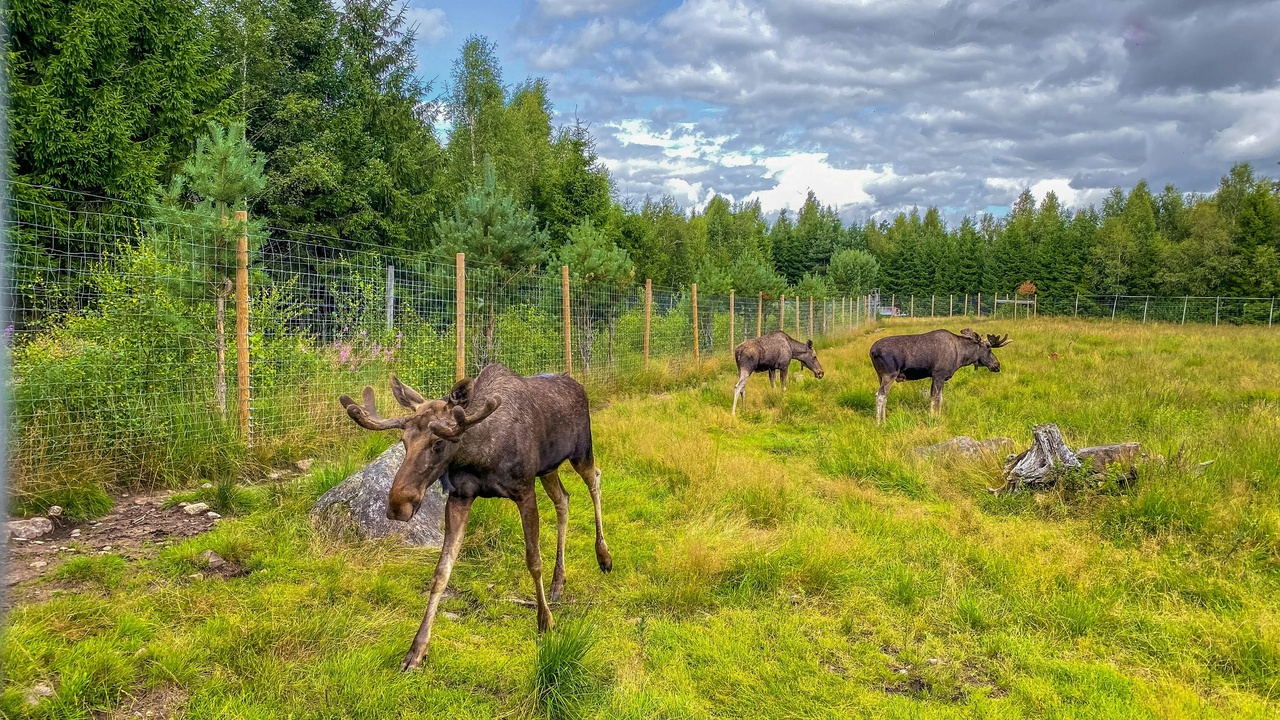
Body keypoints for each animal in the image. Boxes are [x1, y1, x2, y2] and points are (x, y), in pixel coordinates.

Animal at [339, 364, 612, 671]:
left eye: (438, 443)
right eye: (403, 441)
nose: (398, 505)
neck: (479, 456)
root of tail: (577, 384)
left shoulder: (524, 490)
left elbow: (533, 560)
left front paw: (545, 621)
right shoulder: (460, 496)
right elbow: (441, 572)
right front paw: (417, 651)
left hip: (581, 452)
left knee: (595, 480)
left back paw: (604, 556)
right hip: (549, 468)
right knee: (563, 500)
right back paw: (558, 581)